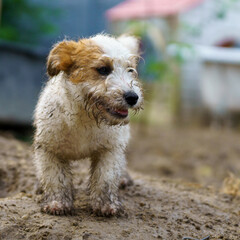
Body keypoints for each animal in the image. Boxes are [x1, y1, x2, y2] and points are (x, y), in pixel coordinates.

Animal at [32, 33, 143, 216]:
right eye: (103, 69)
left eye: (130, 70)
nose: (133, 97)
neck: (85, 117)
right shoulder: (49, 149)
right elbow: (55, 178)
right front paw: (57, 202)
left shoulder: (110, 149)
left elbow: (105, 178)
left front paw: (105, 205)